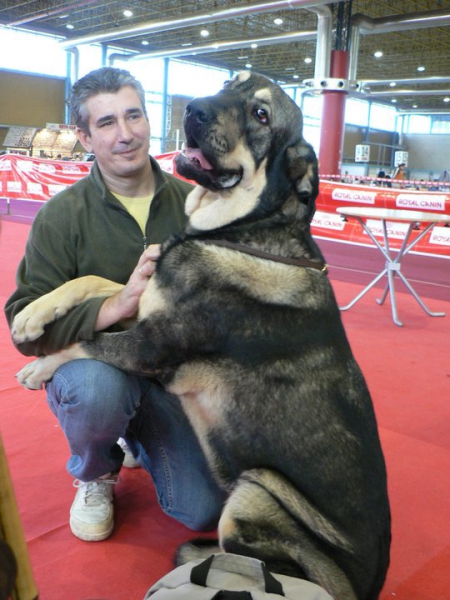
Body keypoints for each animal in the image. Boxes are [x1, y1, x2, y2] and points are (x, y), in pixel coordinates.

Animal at [12, 71, 388, 600]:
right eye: (231, 81)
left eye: (261, 115)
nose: (193, 109)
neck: (241, 229)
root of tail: (367, 586)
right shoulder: (146, 299)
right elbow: (95, 284)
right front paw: (33, 315)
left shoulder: (151, 345)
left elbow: (84, 343)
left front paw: (39, 364)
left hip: (258, 489)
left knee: (265, 564)